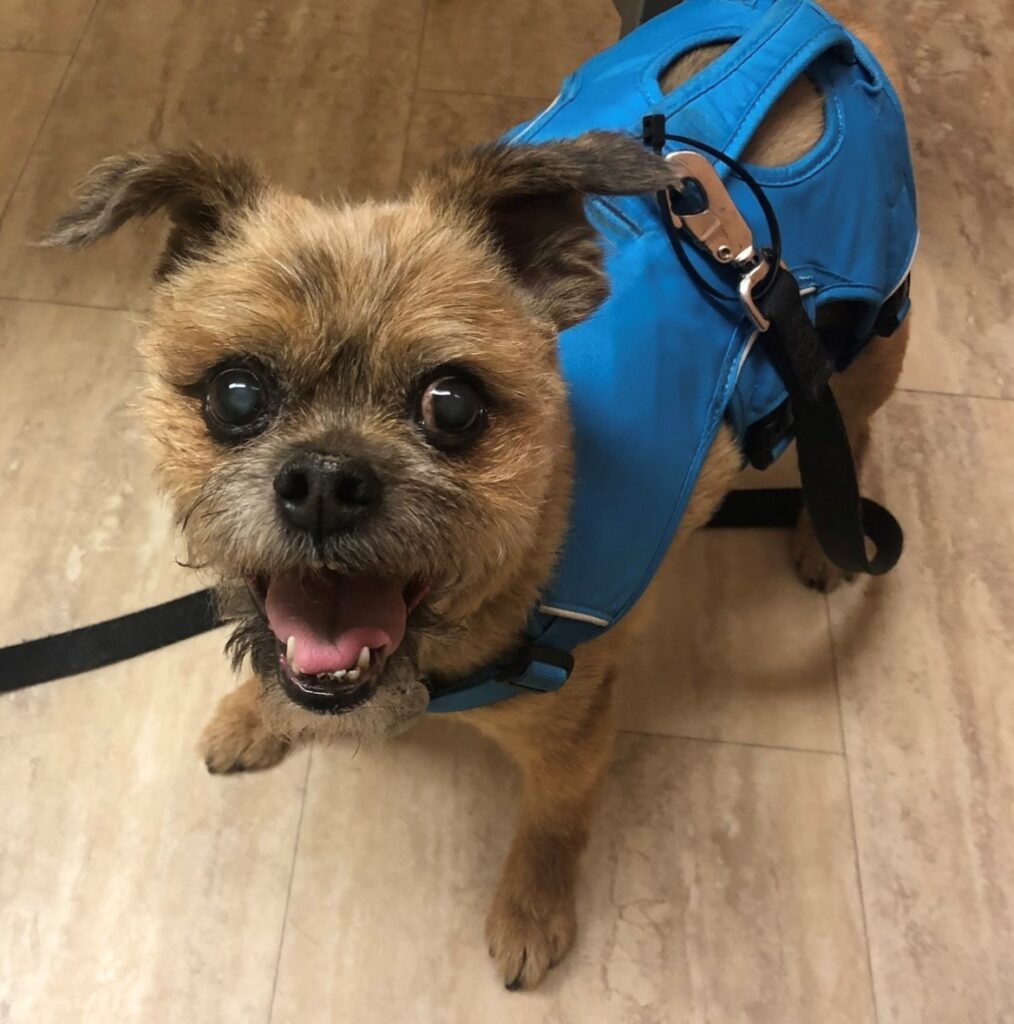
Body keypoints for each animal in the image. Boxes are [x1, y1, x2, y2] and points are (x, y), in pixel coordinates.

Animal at [41, 22, 913, 983]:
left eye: (451, 405)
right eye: (234, 395)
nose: (324, 481)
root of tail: (803, 26)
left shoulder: (574, 730)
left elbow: (555, 819)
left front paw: (533, 911)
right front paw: (253, 714)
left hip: (864, 346)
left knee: (854, 429)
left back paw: (823, 538)